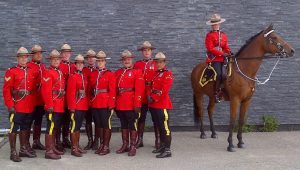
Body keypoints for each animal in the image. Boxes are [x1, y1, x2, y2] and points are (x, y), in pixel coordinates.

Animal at [191, 23, 294, 151]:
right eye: (274, 37)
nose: (292, 50)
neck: (245, 70)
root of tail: (195, 68)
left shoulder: (247, 100)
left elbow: (241, 121)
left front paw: (240, 142)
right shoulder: (235, 100)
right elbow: (232, 120)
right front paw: (230, 145)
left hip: (212, 96)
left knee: (210, 110)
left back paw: (213, 133)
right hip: (198, 94)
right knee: (201, 111)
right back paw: (203, 133)